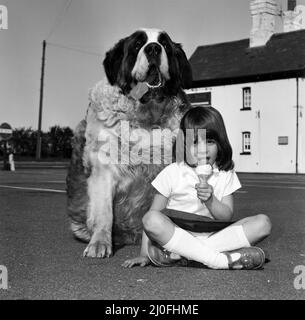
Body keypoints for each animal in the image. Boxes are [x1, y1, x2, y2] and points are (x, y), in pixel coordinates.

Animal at [66, 27, 191, 258]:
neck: (145, 115)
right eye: (137, 45)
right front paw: (100, 243)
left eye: (165, 44)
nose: (153, 48)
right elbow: (104, 212)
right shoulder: (104, 170)